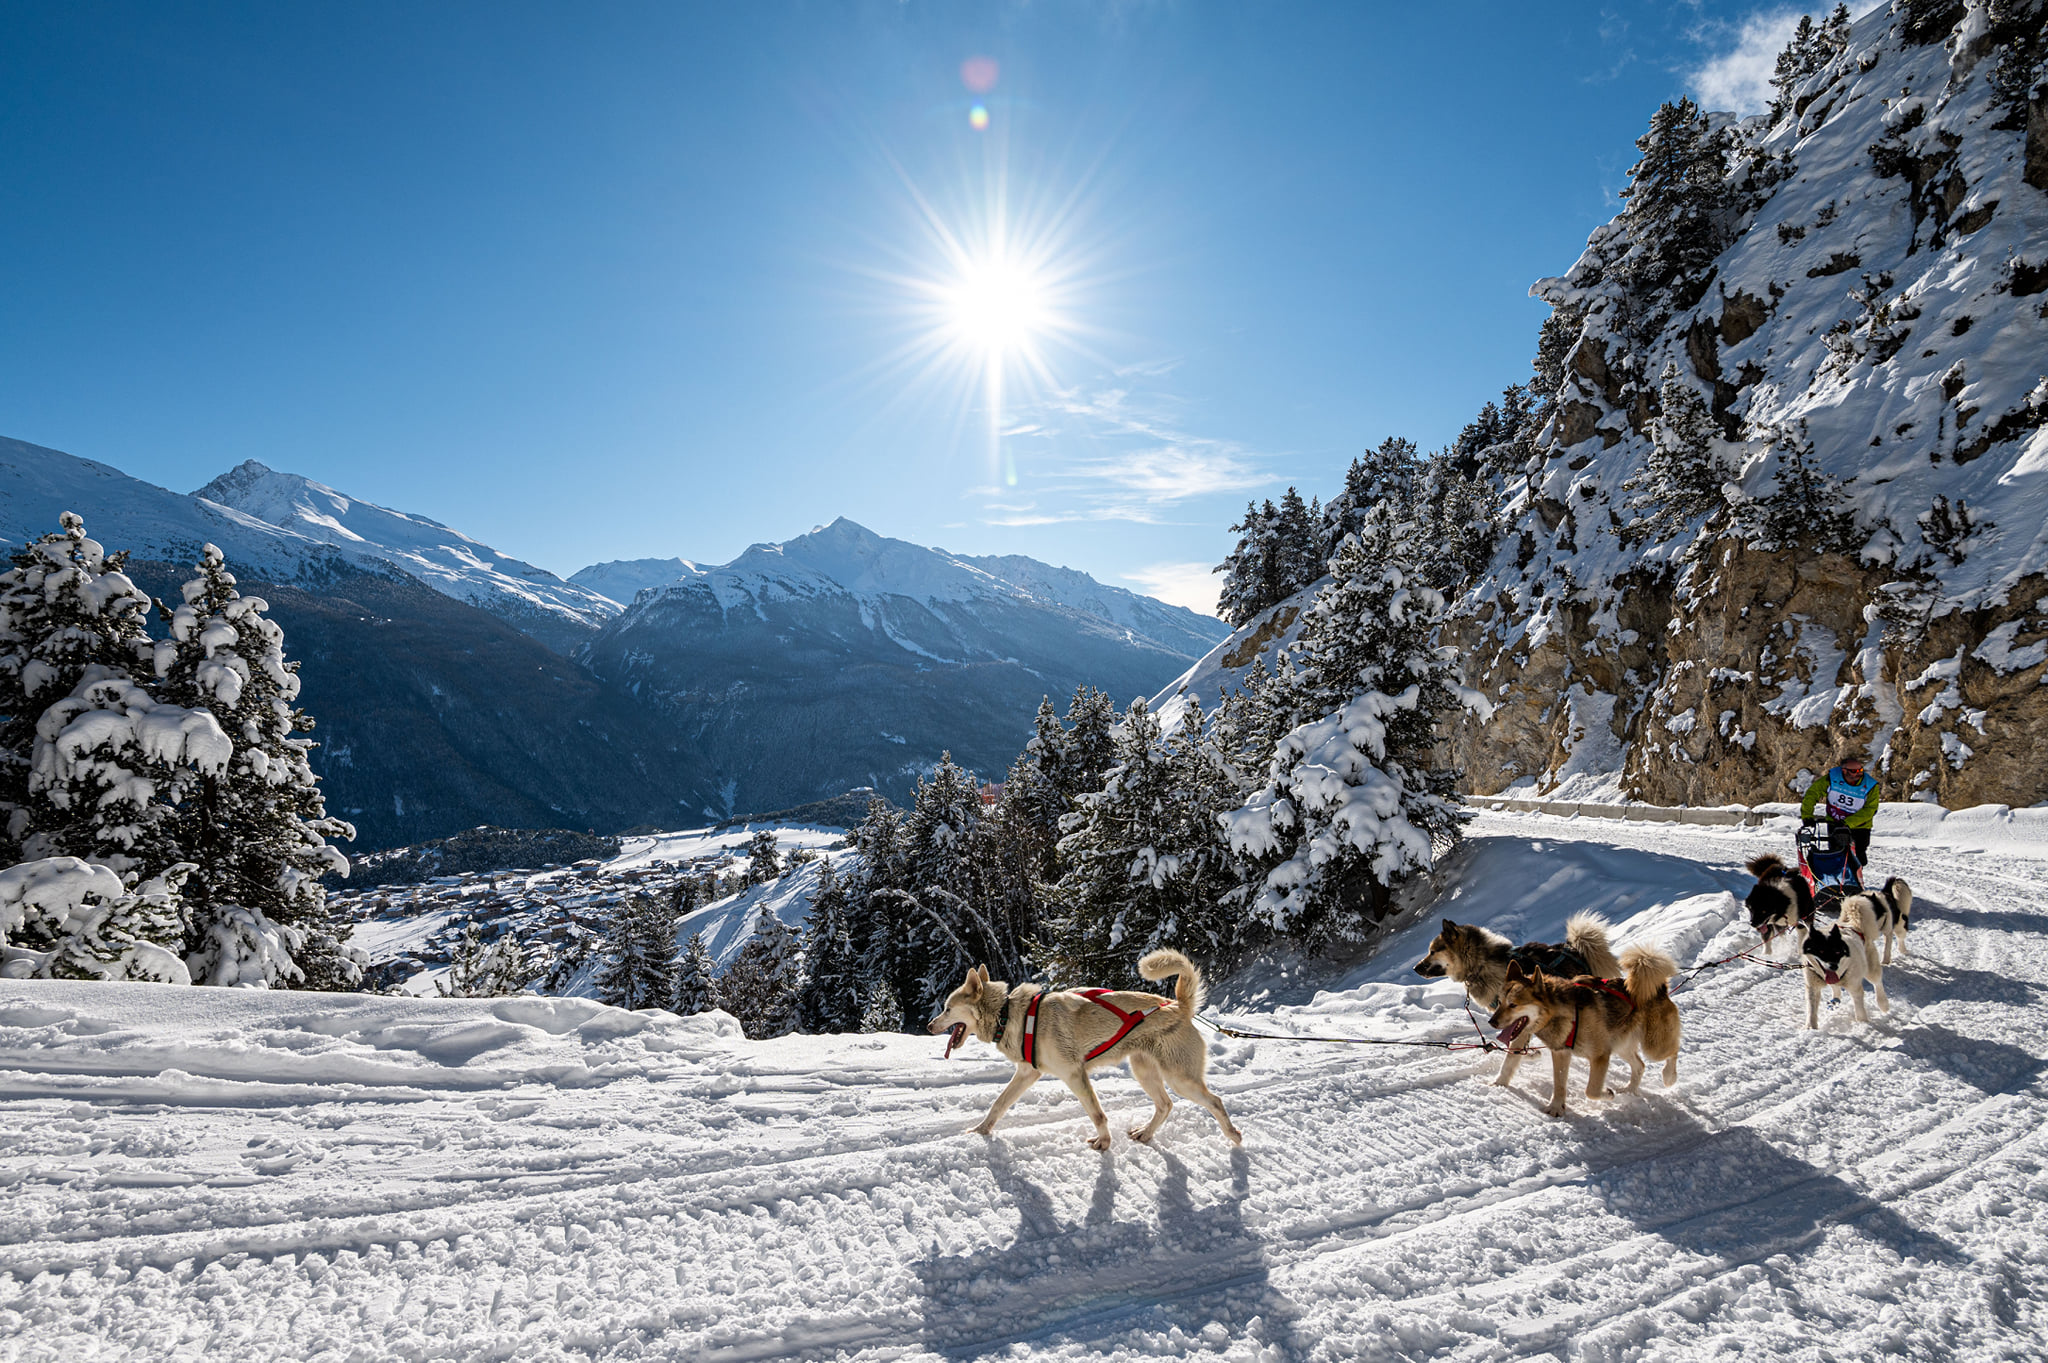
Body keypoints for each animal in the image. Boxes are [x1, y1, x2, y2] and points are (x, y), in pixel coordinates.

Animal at [933, 945, 1245, 1146]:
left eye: (947, 1009)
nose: (929, 1024)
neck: (1007, 1013)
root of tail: (1178, 1006)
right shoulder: (1027, 1073)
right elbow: (998, 1105)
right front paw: (980, 1130)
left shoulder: (1074, 1074)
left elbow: (1097, 1114)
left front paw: (1104, 1142)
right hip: (1144, 1071)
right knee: (1165, 1105)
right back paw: (1145, 1134)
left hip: (1179, 1079)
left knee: (1214, 1102)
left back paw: (1234, 1136)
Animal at [1490, 941, 1679, 1121]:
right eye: (1499, 1002)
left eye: (1513, 1005)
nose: (1491, 1022)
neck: (1567, 1014)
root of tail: (1659, 989)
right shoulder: (1561, 1053)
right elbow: (1559, 1084)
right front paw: (1556, 1107)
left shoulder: (1600, 1056)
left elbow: (1592, 1090)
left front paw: (1607, 1094)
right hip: (1621, 1045)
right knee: (1640, 1065)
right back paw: (1630, 1090)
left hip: (1653, 1046)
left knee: (1673, 1051)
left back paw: (1669, 1077)